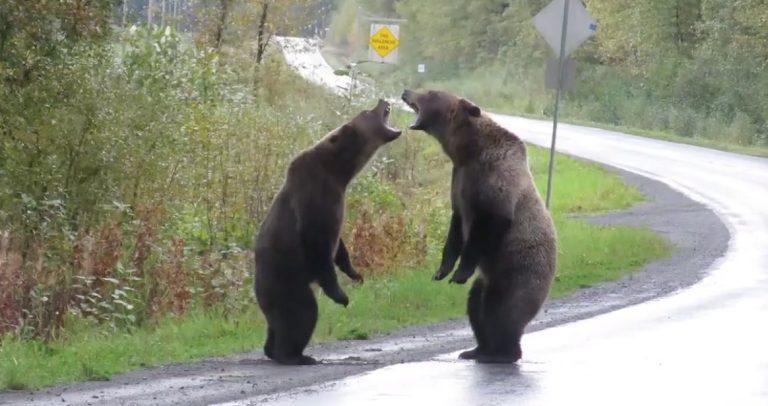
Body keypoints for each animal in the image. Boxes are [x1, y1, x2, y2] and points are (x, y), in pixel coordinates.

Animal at [254, 99, 402, 365]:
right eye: (367, 112)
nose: (383, 101)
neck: (339, 172)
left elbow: (338, 244)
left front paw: (355, 273)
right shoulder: (315, 198)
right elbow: (318, 244)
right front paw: (341, 295)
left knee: (276, 324)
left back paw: (274, 349)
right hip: (286, 281)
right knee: (302, 313)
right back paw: (294, 355)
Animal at [401, 89, 557, 363]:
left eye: (431, 93)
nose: (406, 91)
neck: (467, 151)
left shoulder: (495, 179)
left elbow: (488, 224)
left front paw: (460, 272)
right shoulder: (459, 182)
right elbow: (455, 226)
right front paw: (442, 270)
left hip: (519, 272)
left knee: (503, 309)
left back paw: (502, 352)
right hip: (488, 277)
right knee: (475, 304)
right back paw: (477, 349)